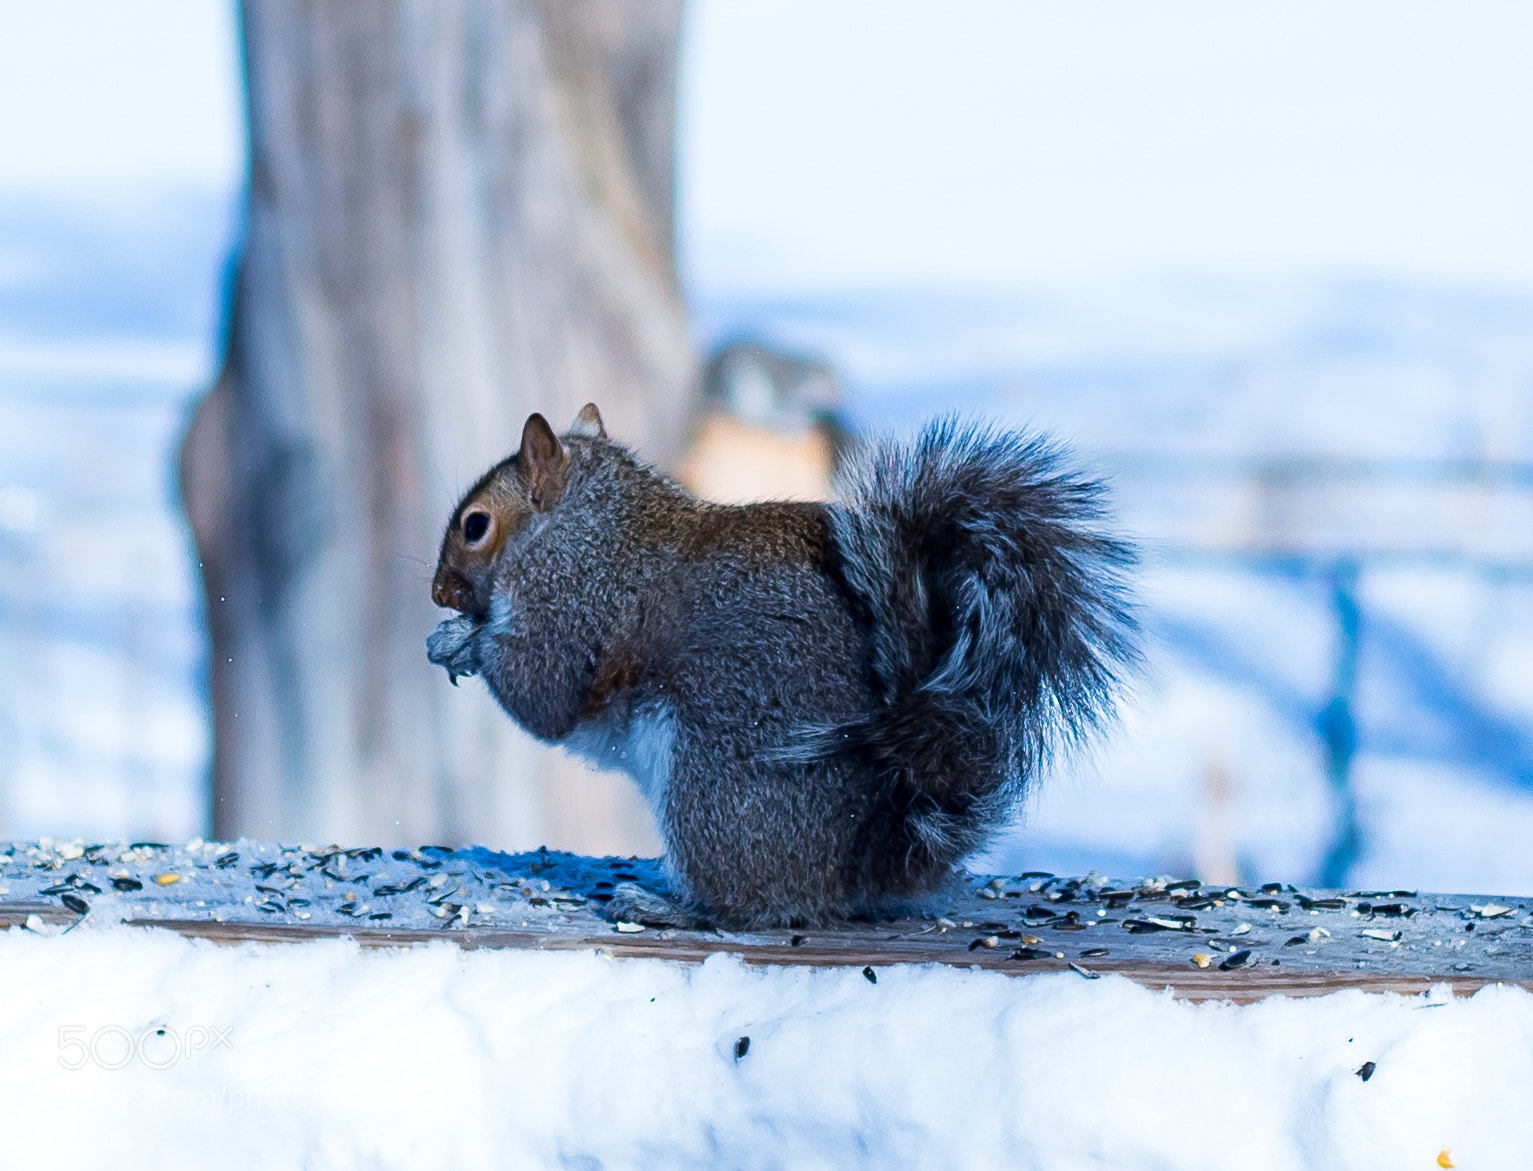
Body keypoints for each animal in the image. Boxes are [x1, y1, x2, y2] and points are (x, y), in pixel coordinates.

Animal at [427, 403, 1138, 929]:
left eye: (475, 525)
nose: (437, 593)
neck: (585, 529)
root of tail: (877, 859)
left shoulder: (576, 607)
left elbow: (544, 695)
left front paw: (463, 642)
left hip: (711, 786)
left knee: (751, 909)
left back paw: (665, 906)